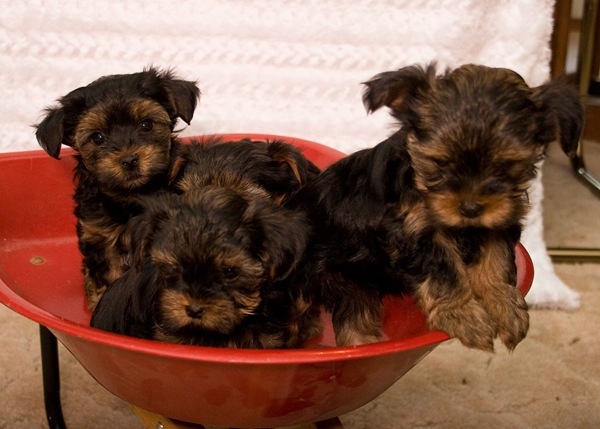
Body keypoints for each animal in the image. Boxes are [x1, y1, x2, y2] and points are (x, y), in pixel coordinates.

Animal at [34, 66, 200, 308]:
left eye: (146, 124)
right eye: (97, 137)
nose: (129, 160)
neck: (130, 196)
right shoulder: (99, 237)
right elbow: (108, 274)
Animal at [288, 63, 584, 352]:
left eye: (506, 166)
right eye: (440, 163)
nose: (471, 208)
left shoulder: (498, 220)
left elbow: (496, 260)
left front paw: (505, 305)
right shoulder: (414, 228)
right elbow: (444, 271)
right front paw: (463, 316)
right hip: (338, 274)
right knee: (352, 315)